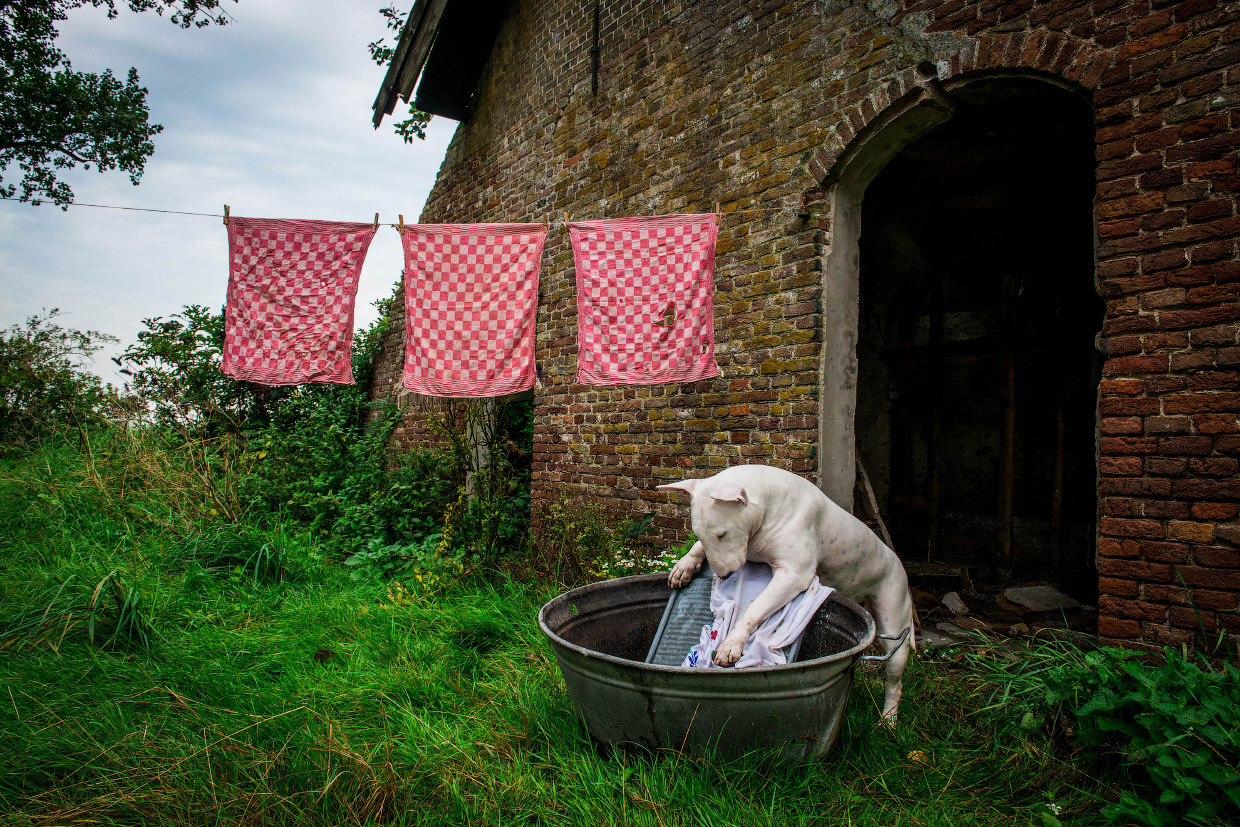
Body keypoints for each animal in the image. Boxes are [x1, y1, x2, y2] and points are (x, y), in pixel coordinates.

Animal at [659, 466, 912, 724]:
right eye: (700, 533)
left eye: (721, 534)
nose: (724, 575)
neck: (766, 508)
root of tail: (897, 561)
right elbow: (697, 548)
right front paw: (683, 567)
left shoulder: (794, 574)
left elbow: (753, 608)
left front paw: (730, 646)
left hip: (894, 617)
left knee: (895, 679)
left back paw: (888, 721)